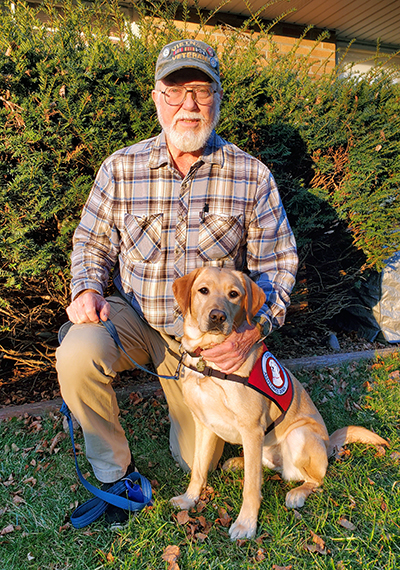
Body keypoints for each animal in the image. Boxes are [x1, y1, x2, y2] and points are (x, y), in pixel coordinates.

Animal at [171, 266, 388, 536]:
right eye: (203, 290)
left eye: (233, 294)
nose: (217, 317)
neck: (207, 360)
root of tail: (328, 443)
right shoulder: (204, 424)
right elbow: (198, 470)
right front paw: (189, 499)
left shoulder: (251, 428)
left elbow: (251, 487)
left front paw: (246, 523)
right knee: (264, 465)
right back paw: (237, 462)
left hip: (299, 435)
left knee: (314, 479)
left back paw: (297, 493)